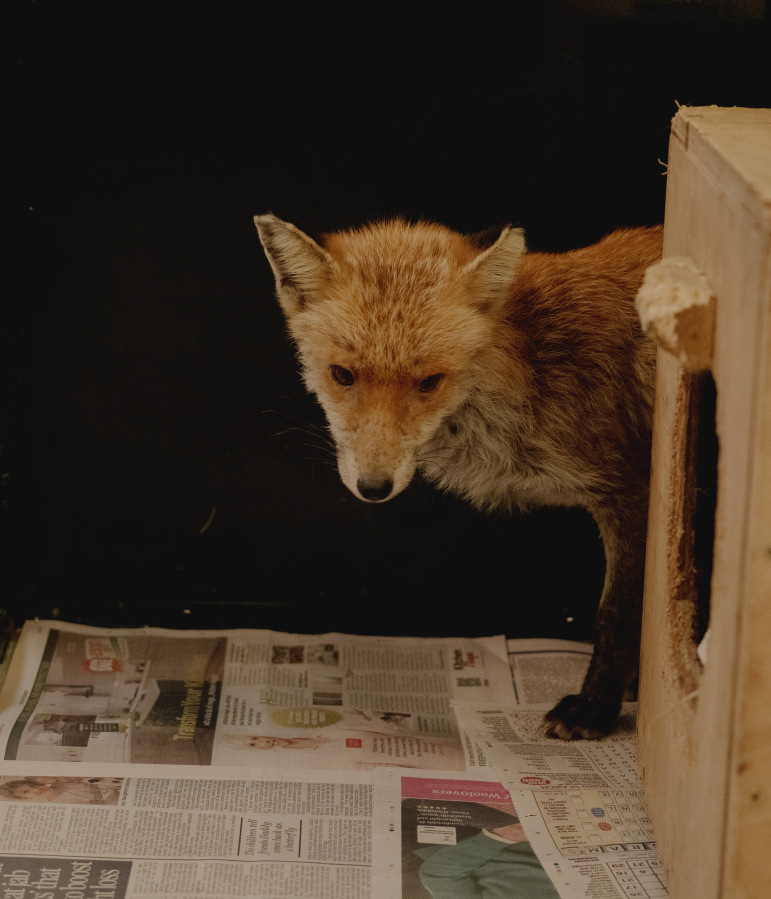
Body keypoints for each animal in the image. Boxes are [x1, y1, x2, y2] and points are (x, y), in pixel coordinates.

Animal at [255, 213, 663, 740]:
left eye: (429, 382)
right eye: (343, 375)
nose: (373, 488)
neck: (536, 366)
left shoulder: (633, 492)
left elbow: (617, 613)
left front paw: (594, 709)